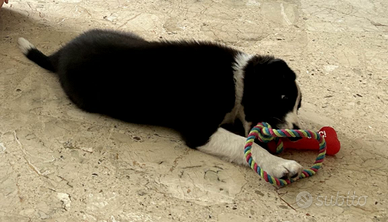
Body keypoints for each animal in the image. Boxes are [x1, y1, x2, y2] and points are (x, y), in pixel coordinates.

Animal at [17, 29, 304, 179]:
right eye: (282, 98)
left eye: (297, 106)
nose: (296, 132)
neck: (238, 79)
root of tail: (59, 55)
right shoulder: (200, 130)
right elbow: (245, 145)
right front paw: (281, 166)